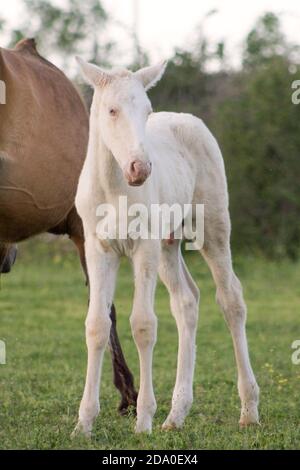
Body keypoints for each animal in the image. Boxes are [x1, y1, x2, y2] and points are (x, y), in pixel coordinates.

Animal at [74, 58, 258, 436]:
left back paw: (249, 408)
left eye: (147, 110)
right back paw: (176, 415)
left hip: (212, 226)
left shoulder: (144, 246)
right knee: (186, 301)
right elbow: (97, 324)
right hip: (167, 244)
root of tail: (189, 119)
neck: (113, 188)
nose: (140, 169)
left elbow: (143, 324)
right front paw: (83, 423)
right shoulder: (98, 249)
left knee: (230, 298)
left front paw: (143, 419)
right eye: (112, 110)